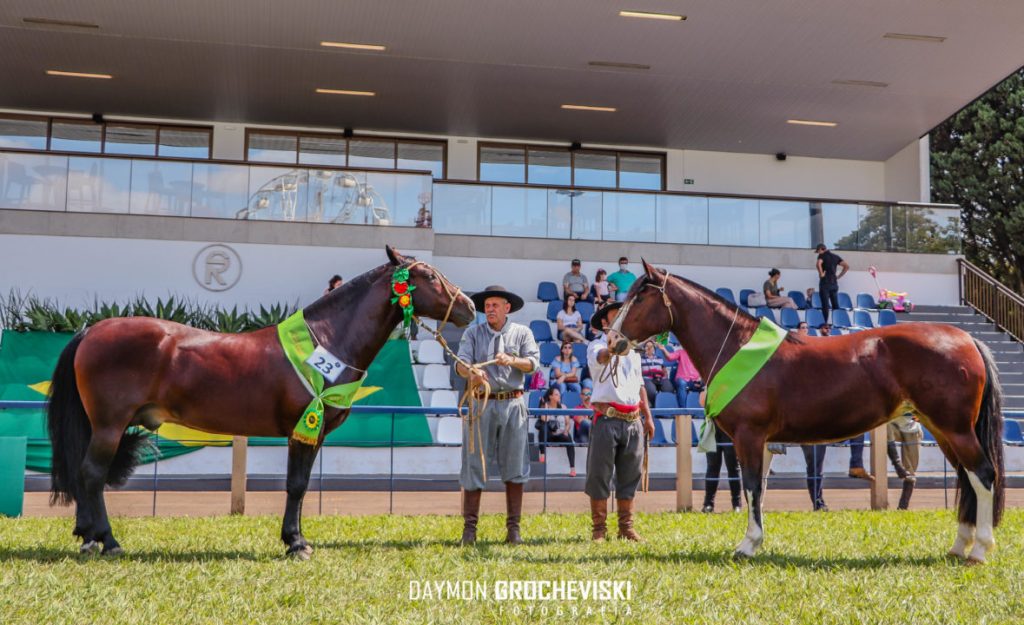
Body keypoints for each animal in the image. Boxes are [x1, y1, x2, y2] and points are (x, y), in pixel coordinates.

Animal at [47, 243, 475, 553]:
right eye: (428, 276)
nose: (469, 307)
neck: (326, 341)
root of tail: (91, 331)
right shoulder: (303, 429)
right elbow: (297, 484)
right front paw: (296, 543)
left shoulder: (311, 433)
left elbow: (300, 484)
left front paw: (294, 538)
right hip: (109, 425)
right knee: (92, 474)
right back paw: (108, 541)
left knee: (85, 474)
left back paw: (87, 536)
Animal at [610, 260, 1003, 561]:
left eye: (640, 296)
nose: (612, 340)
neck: (737, 345)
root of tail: (967, 339)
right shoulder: (762, 442)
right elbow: (759, 489)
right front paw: (755, 541)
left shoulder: (749, 437)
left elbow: (750, 486)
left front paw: (747, 546)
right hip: (943, 429)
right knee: (967, 478)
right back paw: (959, 546)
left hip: (955, 429)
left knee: (983, 475)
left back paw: (980, 550)